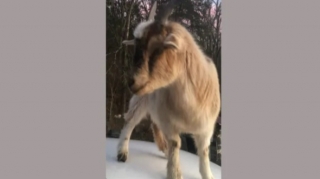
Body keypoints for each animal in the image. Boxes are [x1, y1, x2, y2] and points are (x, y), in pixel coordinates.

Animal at [117, 0, 220, 178]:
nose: (131, 82)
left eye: (157, 48)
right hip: (140, 101)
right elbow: (175, 143)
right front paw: (175, 172)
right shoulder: (168, 122)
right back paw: (122, 152)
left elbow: (204, 152)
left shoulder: (206, 128)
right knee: (130, 122)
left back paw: (163, 150)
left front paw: (208, 174)